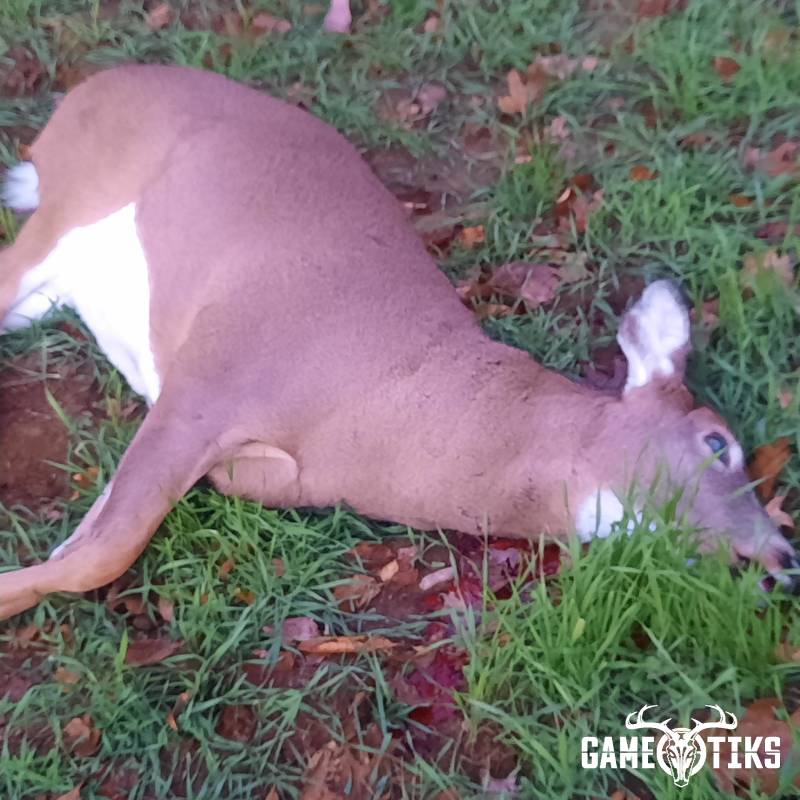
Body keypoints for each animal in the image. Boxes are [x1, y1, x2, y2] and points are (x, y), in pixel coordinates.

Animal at [0, 64, 796, 620]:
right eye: (718, 443)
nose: (785, 558)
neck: (386, 406)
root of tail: (79, 99)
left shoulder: (256, 458)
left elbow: (104, 531)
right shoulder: (219, 374)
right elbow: (106, 550)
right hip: (76, 200)